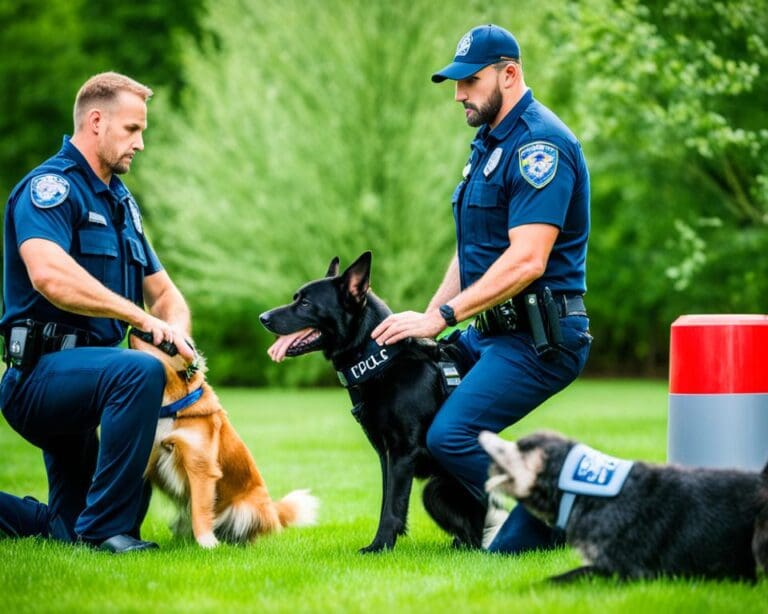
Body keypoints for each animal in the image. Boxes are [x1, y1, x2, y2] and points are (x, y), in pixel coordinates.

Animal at [130, 334, 316, 552]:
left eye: (169, 340)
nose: (134, 330)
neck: (172, 406)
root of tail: (274, 511)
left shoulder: (200, 467)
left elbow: (201, 510)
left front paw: (207, 544)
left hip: (246, 508)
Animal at [258, 254, 486, 552]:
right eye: (296, 298)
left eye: (305, 303)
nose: (262, 318)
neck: (380, 360)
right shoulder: (384, 454)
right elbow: (388, 501)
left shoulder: (402, 452)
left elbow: (392, 506)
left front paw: (380, 545)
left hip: (436, 489)